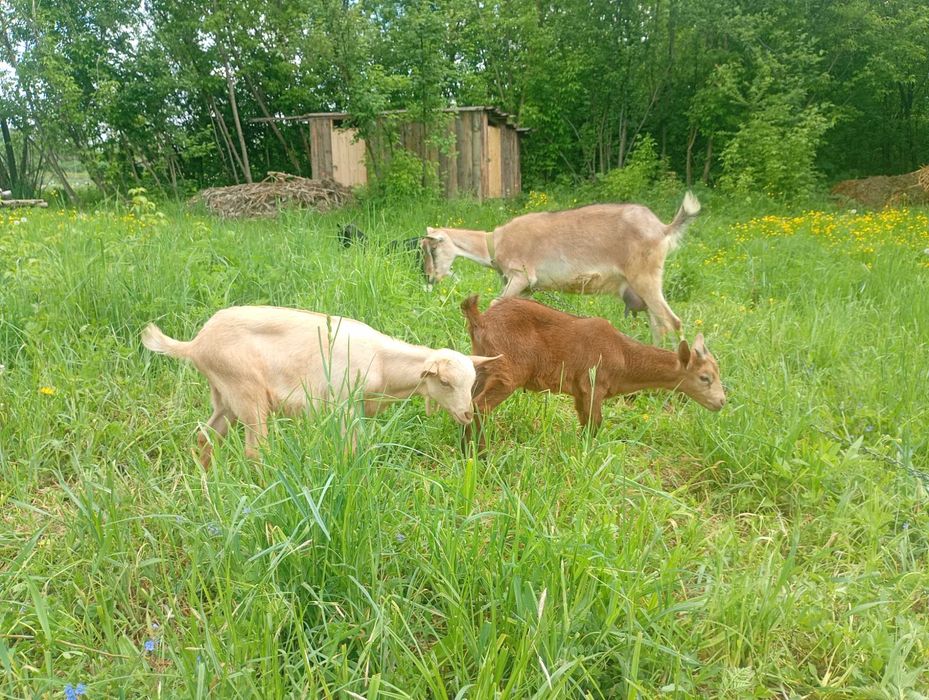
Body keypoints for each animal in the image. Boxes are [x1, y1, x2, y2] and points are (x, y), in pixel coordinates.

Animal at [142, 305, 499, 467]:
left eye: (472, 382)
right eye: (445, 382)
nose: (468, 415)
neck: (383, 363)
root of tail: (196, 344)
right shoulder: (343, 404)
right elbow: (351, 448)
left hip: (225, 396)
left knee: (205, 436)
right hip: (247, 391)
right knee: (254, 449)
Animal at [422, 192, 701, 343]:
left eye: (433, 249)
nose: (430, 279)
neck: (494, 243)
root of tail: (663, 228)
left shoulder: (520, 276)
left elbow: (495, 304)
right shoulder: (525, 290)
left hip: (645, 277)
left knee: (672, 321)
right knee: (658, 322)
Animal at [460, 295, 725, 450]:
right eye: (705, 378)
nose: (721, 402)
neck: (622, 353)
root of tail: (481, 320)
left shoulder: (580, 392)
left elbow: (585, 422)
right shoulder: (594, 385)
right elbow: (595, 423)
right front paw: (587, 454)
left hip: (483, 364)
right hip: (507, 371)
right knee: (479, 406)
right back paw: (481, 452)